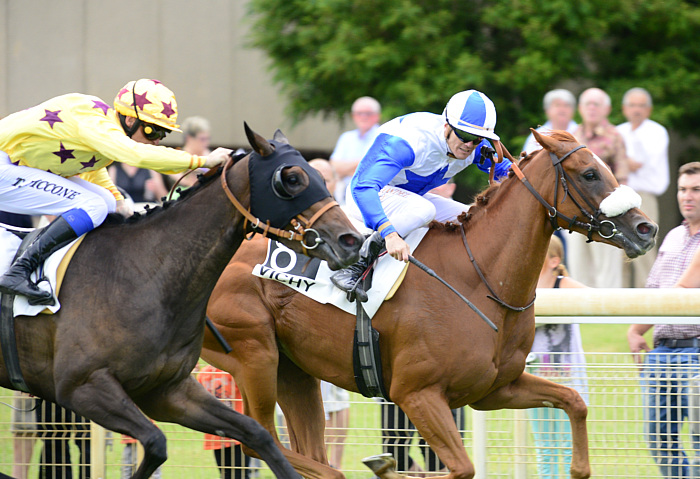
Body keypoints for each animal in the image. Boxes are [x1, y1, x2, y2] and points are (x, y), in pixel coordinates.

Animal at [0, 126, 360, 479]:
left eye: (322, 176)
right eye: (292, 178)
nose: (352, 240)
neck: (143, 272)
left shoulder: (166, 391)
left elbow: (257, 434)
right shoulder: (82, 387)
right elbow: (156, 444)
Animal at [201, 130, 656, 479]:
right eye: (590, 173)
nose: (646, 229)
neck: (480, 280)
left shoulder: (496, 389)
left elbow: (574, 401)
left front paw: (578, 467)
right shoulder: (416, 394)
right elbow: (460, 468)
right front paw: (385, 466)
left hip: (294, 369)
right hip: (254, 353)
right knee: (260, 437)